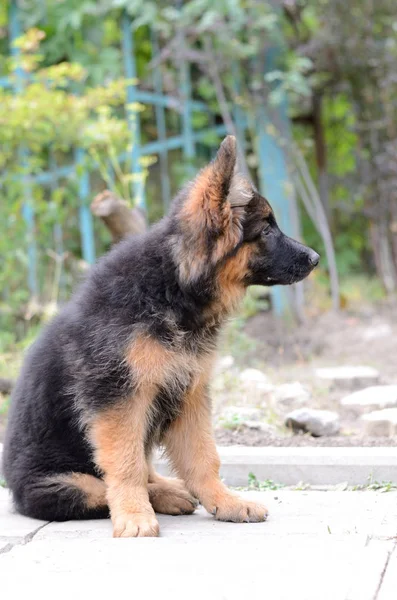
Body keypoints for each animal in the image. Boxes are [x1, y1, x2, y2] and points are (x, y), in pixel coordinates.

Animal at [2, 138, 318, 536]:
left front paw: (225, 501)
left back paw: (169, 489)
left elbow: (204, 457)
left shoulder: (189, 390)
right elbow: (126, 465)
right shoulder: (118, 398)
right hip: (57, 486)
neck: (170, 285)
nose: (316, 258)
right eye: (267, 231)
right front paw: (135, 516)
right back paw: (157, 497)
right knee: (100, 487)